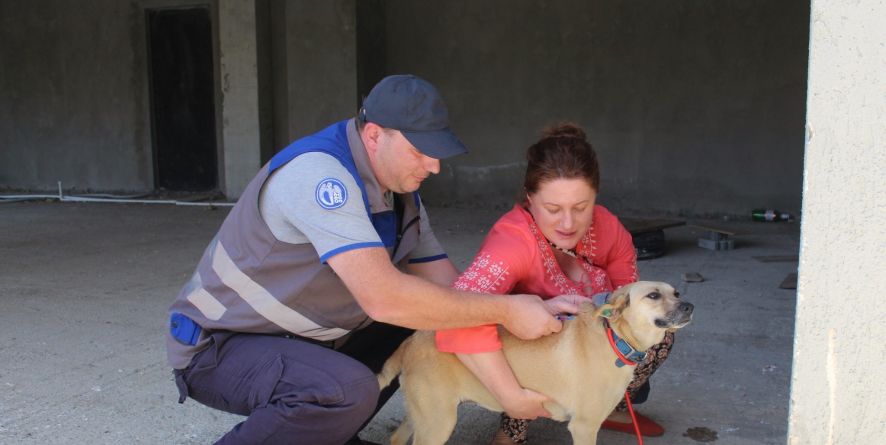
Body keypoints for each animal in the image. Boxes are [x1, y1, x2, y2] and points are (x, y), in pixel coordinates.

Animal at [374, 280, 692, 442]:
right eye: (653, 295)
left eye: (676, 292)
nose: (690, 305)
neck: (615, 336)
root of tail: (412, 339)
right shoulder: (584, 426)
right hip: (438, 422)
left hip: (424, 414)